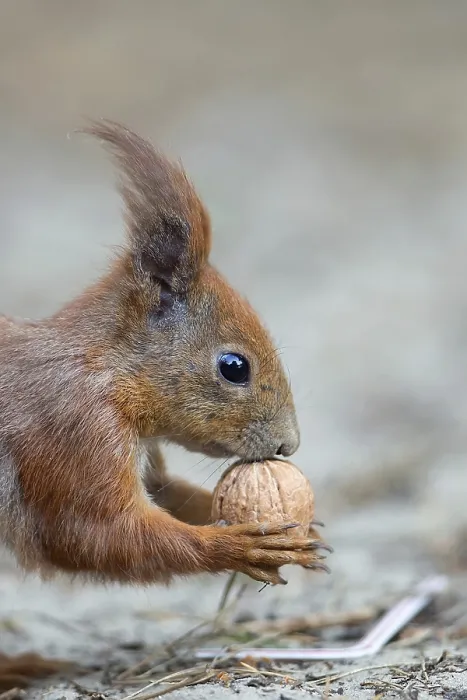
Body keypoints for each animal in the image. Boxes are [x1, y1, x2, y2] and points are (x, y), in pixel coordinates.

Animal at [0, 120, 330, 592]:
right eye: (234, 367)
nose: (289, 444)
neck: (108, 369)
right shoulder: (75, 431)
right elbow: (94, 533)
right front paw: (238, 546)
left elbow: (169, 493)